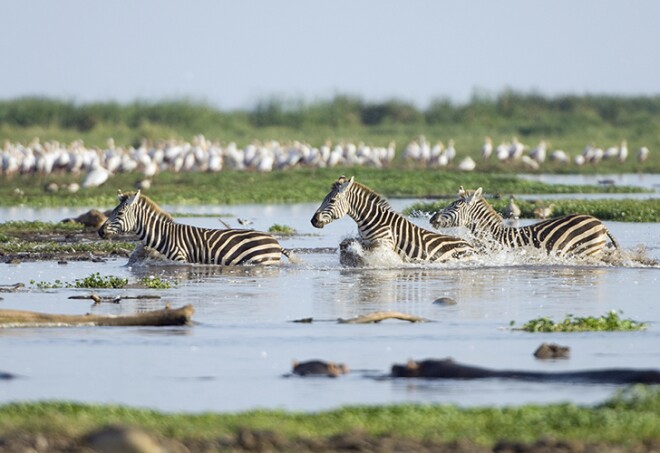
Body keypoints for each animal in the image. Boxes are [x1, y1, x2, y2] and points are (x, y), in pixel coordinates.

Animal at [99, 190, 293, 265]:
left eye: (119, 214)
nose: (100, 231)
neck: (163, 235)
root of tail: (275, 242)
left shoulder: (180, 258)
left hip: (263, 261)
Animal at [310, 176, 474, 262]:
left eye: (332, 201)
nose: (313, 220)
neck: (371, 220)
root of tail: (471, 246)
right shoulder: (365, 240)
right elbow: (346, 243)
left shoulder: (384, 244)